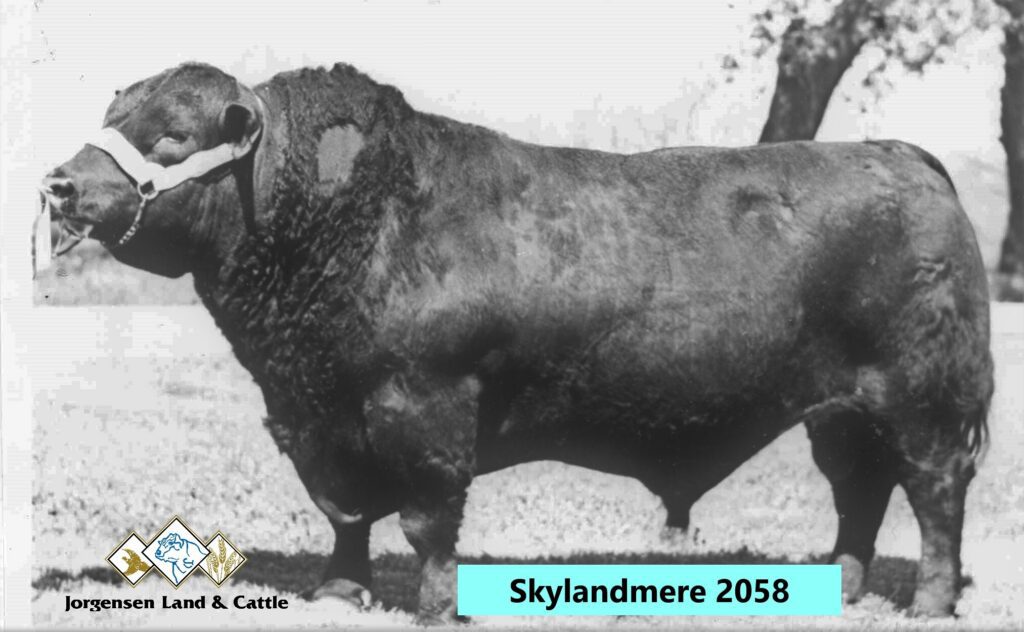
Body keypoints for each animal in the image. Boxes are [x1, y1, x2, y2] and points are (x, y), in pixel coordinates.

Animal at [39, 62, 992, 623]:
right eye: (115, 111)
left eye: (172, 134)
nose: (59, 185)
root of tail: (896, 153)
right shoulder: (314, 415)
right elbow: (345, 513)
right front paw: (341, 591)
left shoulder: (422, 403)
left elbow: (426, 521)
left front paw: (431, 606)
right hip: (840, 411)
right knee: (859, 494)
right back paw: (846, 591)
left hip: (922, 401)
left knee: (935, 497)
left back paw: (930, 602)